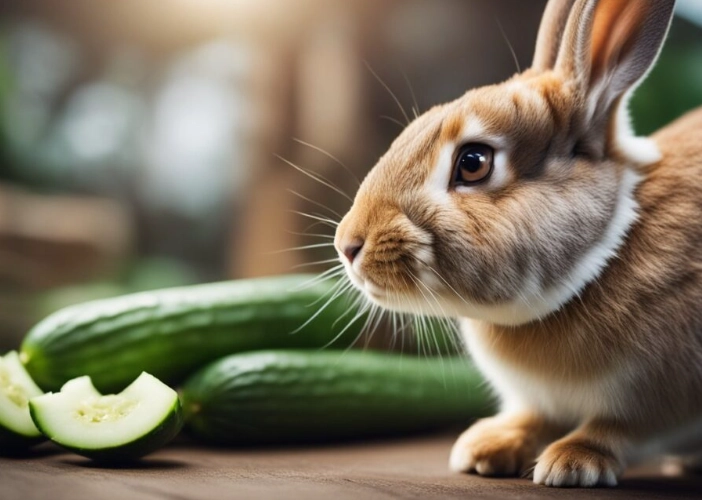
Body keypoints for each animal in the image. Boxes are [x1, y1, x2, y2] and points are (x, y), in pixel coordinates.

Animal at [333, 0, 702, 488]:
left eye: (473, 163)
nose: (348, 244)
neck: (601, 259)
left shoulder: (665, 394)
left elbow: (619, 429)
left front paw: (571, 464)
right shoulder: (543, 402)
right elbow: (534, 418)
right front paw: (484, 447)